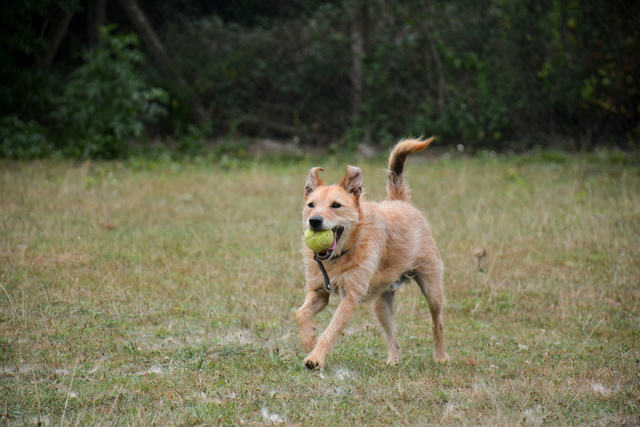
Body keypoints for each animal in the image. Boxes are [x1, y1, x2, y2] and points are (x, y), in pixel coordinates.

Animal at [296, 138, 450, 372]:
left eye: (336, 205)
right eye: (310, 205)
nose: (314, 221)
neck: (340, 256)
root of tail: (400, 201)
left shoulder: (350, 298)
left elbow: (332, 330)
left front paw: (316, 357)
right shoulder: (319, 292)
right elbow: (301, 313)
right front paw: (309, 341)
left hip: (432, 290)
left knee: (437, 321)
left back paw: (440, 356)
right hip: (381, 304)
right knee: (392, 335)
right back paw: (393, 359)